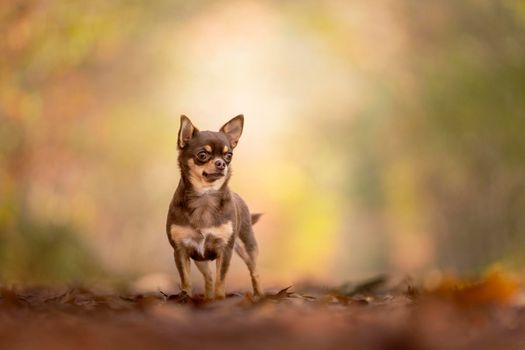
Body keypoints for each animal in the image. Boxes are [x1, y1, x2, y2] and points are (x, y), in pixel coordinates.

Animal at [165, 115, 260, 300]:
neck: (206, 196)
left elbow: (220, 280)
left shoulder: (225, 250)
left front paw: (220, 299)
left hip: (248, 247)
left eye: (229, 155)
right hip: (200, 258)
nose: (221, 163)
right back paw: (207, 299)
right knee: (208, 277)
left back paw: (260, 295)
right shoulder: (181, 250)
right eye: (202, 155)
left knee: (255, 273)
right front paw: (185, 298)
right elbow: (186, 280)